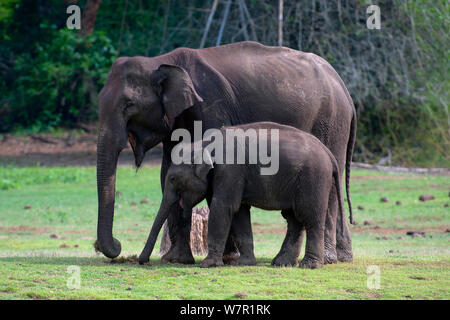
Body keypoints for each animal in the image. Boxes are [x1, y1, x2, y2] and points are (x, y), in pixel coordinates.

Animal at [138, 122, 348, 268]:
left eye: (173, 179)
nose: (142, 261)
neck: (204, 143)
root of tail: (329, 153)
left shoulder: (230, 170)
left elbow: (223, 207)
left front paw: (208, 264)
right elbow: (239, 212)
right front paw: (244, 263)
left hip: (313, 178)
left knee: (309, 217)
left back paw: (309, 265)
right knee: (293, 219)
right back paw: (281, 263)